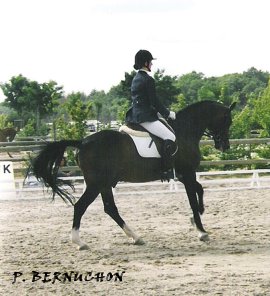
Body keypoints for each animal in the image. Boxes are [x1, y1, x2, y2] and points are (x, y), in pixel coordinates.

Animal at [33, 100, 236, 249]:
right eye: (227, 120)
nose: (225, 146)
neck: (185, 129)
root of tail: (82, 142)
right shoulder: (187, 173)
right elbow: (193, 199)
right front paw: (201, 231)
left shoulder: (184, 175)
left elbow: (200, 190)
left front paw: (195, 220)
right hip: (96, 184)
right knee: (81, 206)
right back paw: (79, 242)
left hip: (104, 184)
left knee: (110, 209)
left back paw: (136, 237)